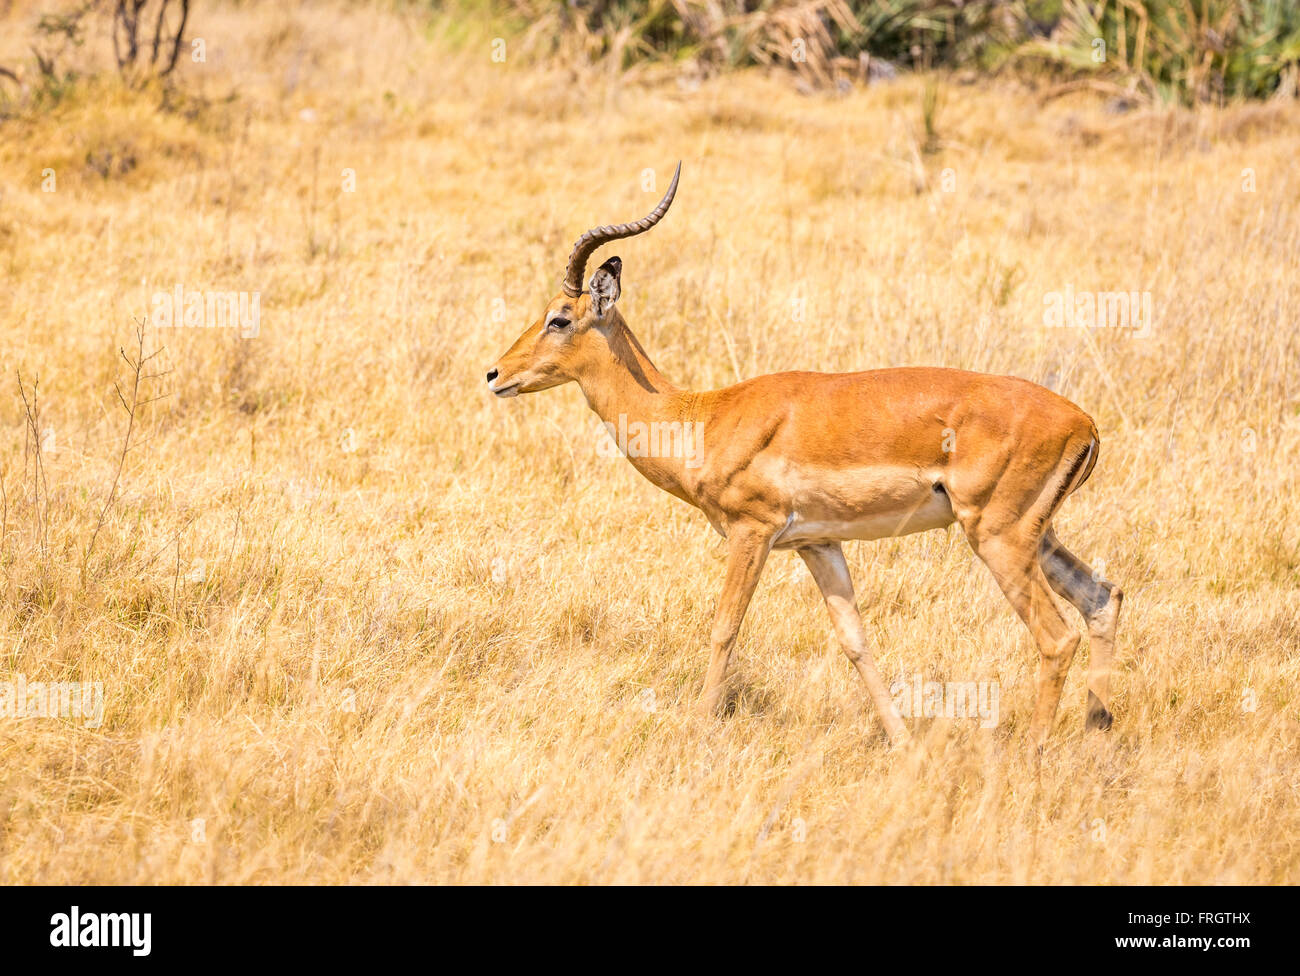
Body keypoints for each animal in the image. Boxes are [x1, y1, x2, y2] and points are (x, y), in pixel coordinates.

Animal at [486, 163, 1123, 749]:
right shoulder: (819, 543)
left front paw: (698, 728)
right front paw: (902, 741)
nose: (494, 374)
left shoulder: (753, 531)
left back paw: (1033, 754)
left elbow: (725, 627)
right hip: (1036, 535)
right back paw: (1096, 732)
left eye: (559, 319)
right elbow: (856, 641)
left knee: (1056, 636)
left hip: (997, 536)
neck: (703, 416)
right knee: (1101, 597)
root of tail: (1084, 423)